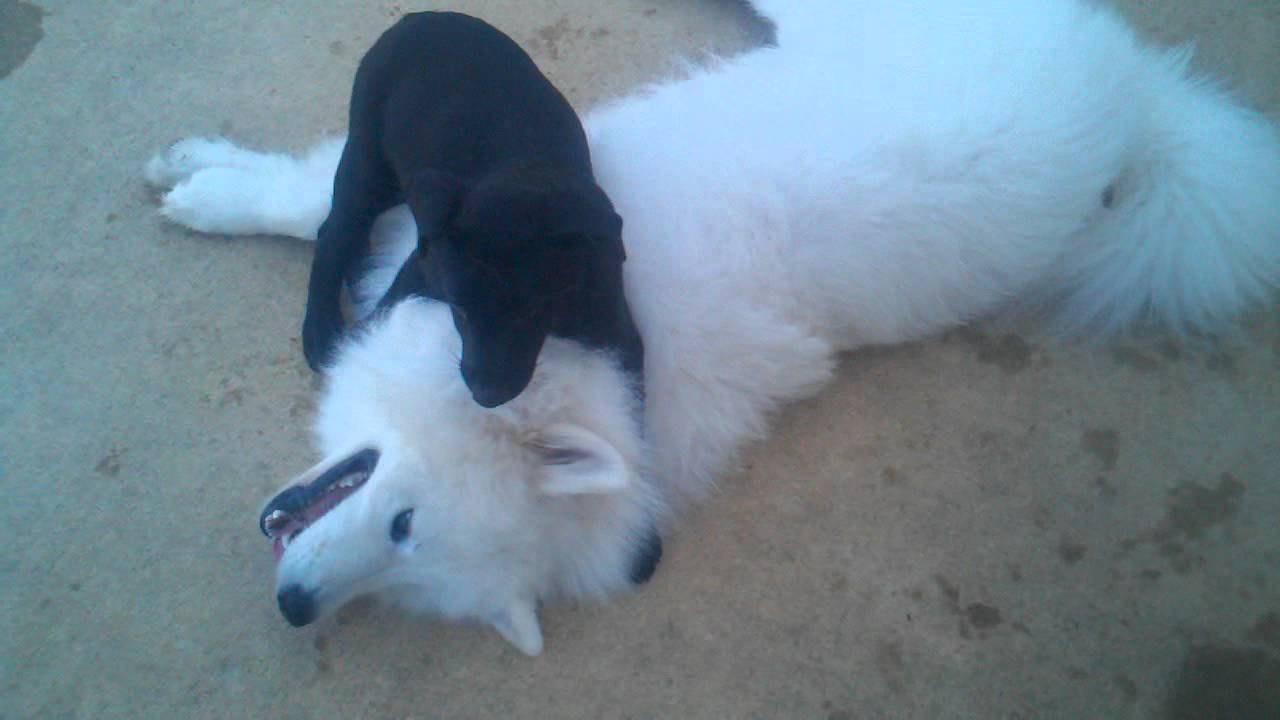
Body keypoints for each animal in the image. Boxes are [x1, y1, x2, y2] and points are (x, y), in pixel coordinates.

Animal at [300, 11, 640, 407]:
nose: (487, 396)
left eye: (534, 309)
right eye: (459, 309)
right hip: (367, 154)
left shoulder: (618, 329)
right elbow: (377, 319)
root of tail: (419, 17)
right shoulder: (423, 269)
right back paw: (321, 328)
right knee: (336, 229)